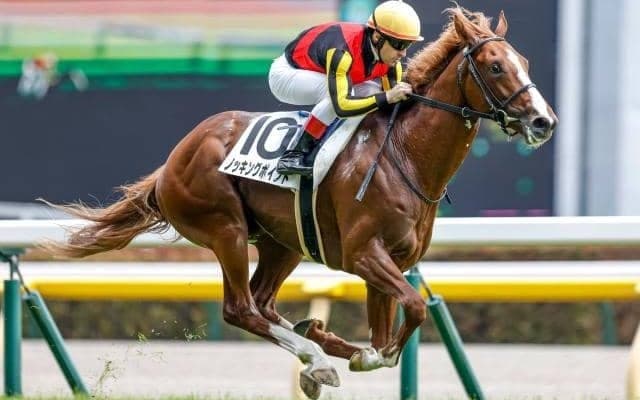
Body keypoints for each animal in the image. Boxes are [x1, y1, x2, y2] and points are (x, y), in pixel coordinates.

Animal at [42, 7, 557, 399]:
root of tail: (172, 161)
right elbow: (410, 314)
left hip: (283, 243)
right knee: (240, 308)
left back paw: (314, 351)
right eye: (495, 66)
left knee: (264, 303)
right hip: (225, 228)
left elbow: (388, 335)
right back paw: (316, 359)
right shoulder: (363, 254)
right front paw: (355, 352)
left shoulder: (390, 260)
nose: (543, 121)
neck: (405, 155)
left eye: (524, 60)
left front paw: (341, 342)